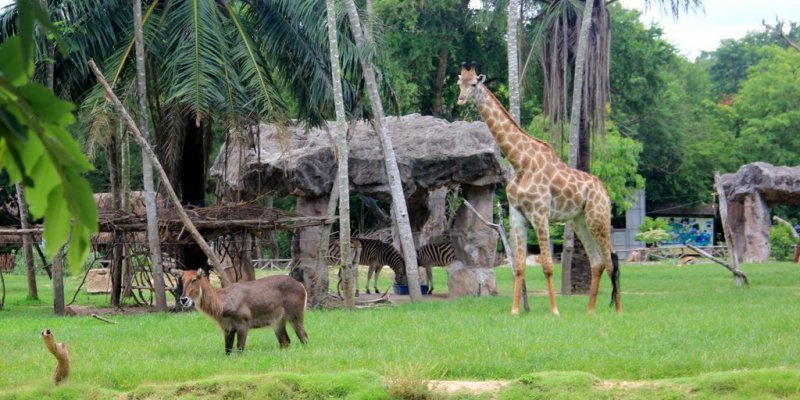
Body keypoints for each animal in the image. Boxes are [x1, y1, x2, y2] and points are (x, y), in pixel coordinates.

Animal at [173, 268, 310, 354]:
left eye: (194, 279)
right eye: (182, 280)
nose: (183, 299)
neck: (222, 301)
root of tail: (301, 285)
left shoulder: (243, 324)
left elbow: (239, 350)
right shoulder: (227, 329)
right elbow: (227, 351)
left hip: (296, 317)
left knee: (304, 337)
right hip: (278, 322)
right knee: (285, 342)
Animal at [456, 61, 620, 316]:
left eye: (473, 84)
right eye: (459, 83)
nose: (461, 100)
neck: (520, 161)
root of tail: (605, 192)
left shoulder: (540, 213)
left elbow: (548, 266)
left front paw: (554, 311)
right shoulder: (518, 215)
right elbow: (520, 265)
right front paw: (515, 311)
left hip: (598, 218)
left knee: (612, 261)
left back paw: (618, 311)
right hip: (580, 221)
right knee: (598, 262)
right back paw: (590, 311)